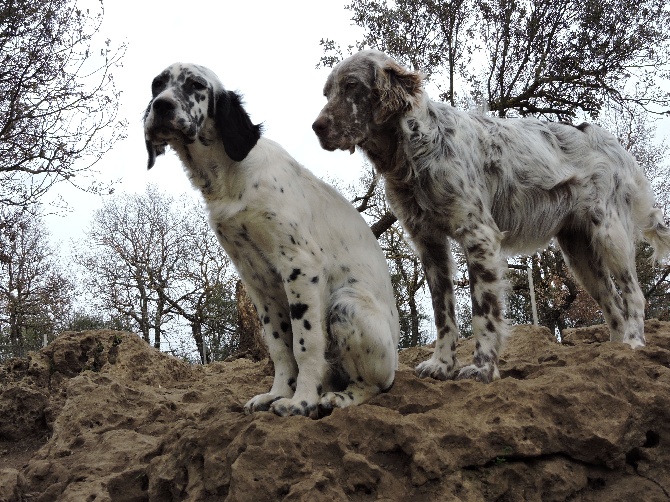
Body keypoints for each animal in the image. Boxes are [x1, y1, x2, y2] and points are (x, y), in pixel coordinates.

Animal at [314, 50, 670, 380]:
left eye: (351, 86)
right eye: (327, 92)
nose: (317, 127)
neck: (415, 150)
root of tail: (608, 140)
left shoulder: (479, 235)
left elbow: (483, 313)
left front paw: (483, 368)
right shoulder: (429, 244)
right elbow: (444, 315)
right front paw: (442, 364)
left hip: (610, 237)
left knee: (634, 298)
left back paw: (634, 344)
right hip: (580, 255)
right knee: (614, 307)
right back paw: (614, 355)